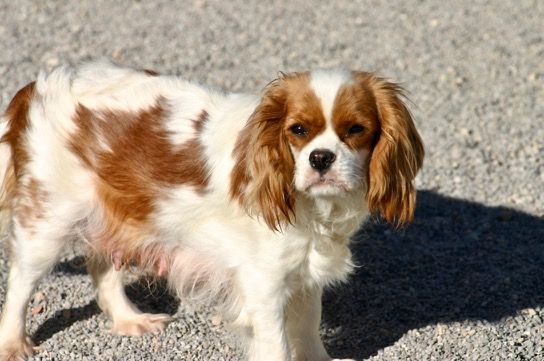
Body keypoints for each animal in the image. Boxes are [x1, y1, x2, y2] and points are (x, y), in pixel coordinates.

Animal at [0, 60, 424, 358]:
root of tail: (37, 86)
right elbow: (278, 345)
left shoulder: (305, 273)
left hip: (117, 211)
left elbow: (307, 329)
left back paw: (128, 319)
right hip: (49, 218)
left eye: (355, 130)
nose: (321, 158)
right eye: (298, 131)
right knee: (22, 281)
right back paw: (13, 344)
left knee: (103, 264)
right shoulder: (264, 284)